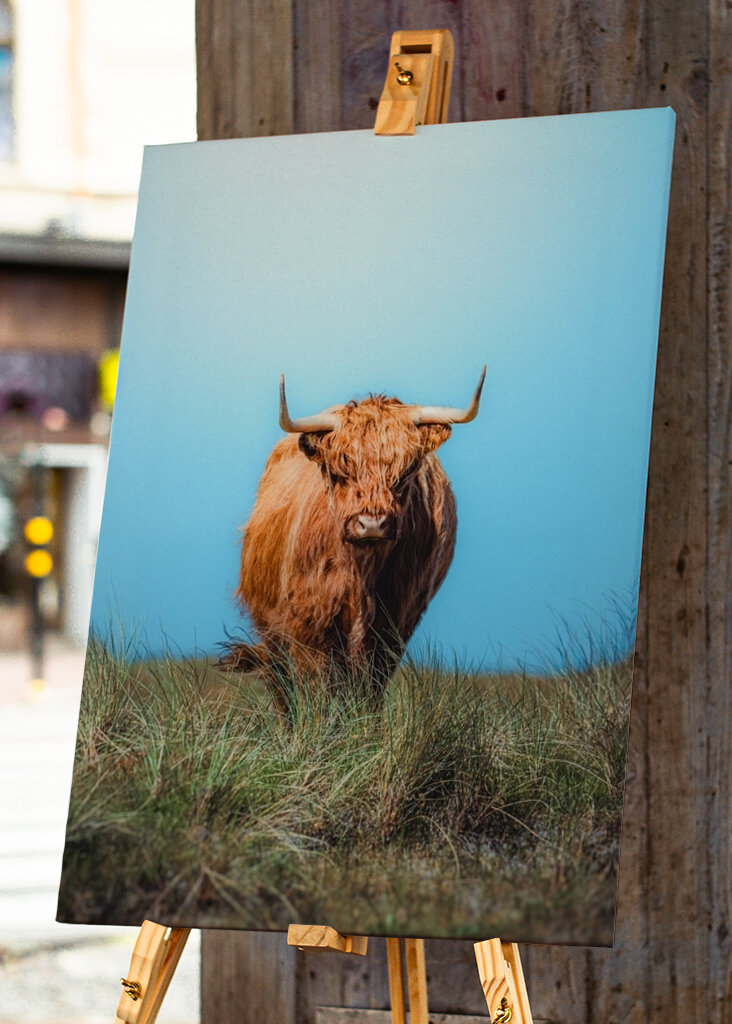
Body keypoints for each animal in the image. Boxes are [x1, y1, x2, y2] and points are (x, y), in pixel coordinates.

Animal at [220, 367, 485, 711]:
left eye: (406, 472)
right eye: (340, 471)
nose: (372, 523)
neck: (362, 572)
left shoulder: (395, 621)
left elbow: (369, 684)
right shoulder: (308, 618)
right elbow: (316, 684)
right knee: (283, 685)